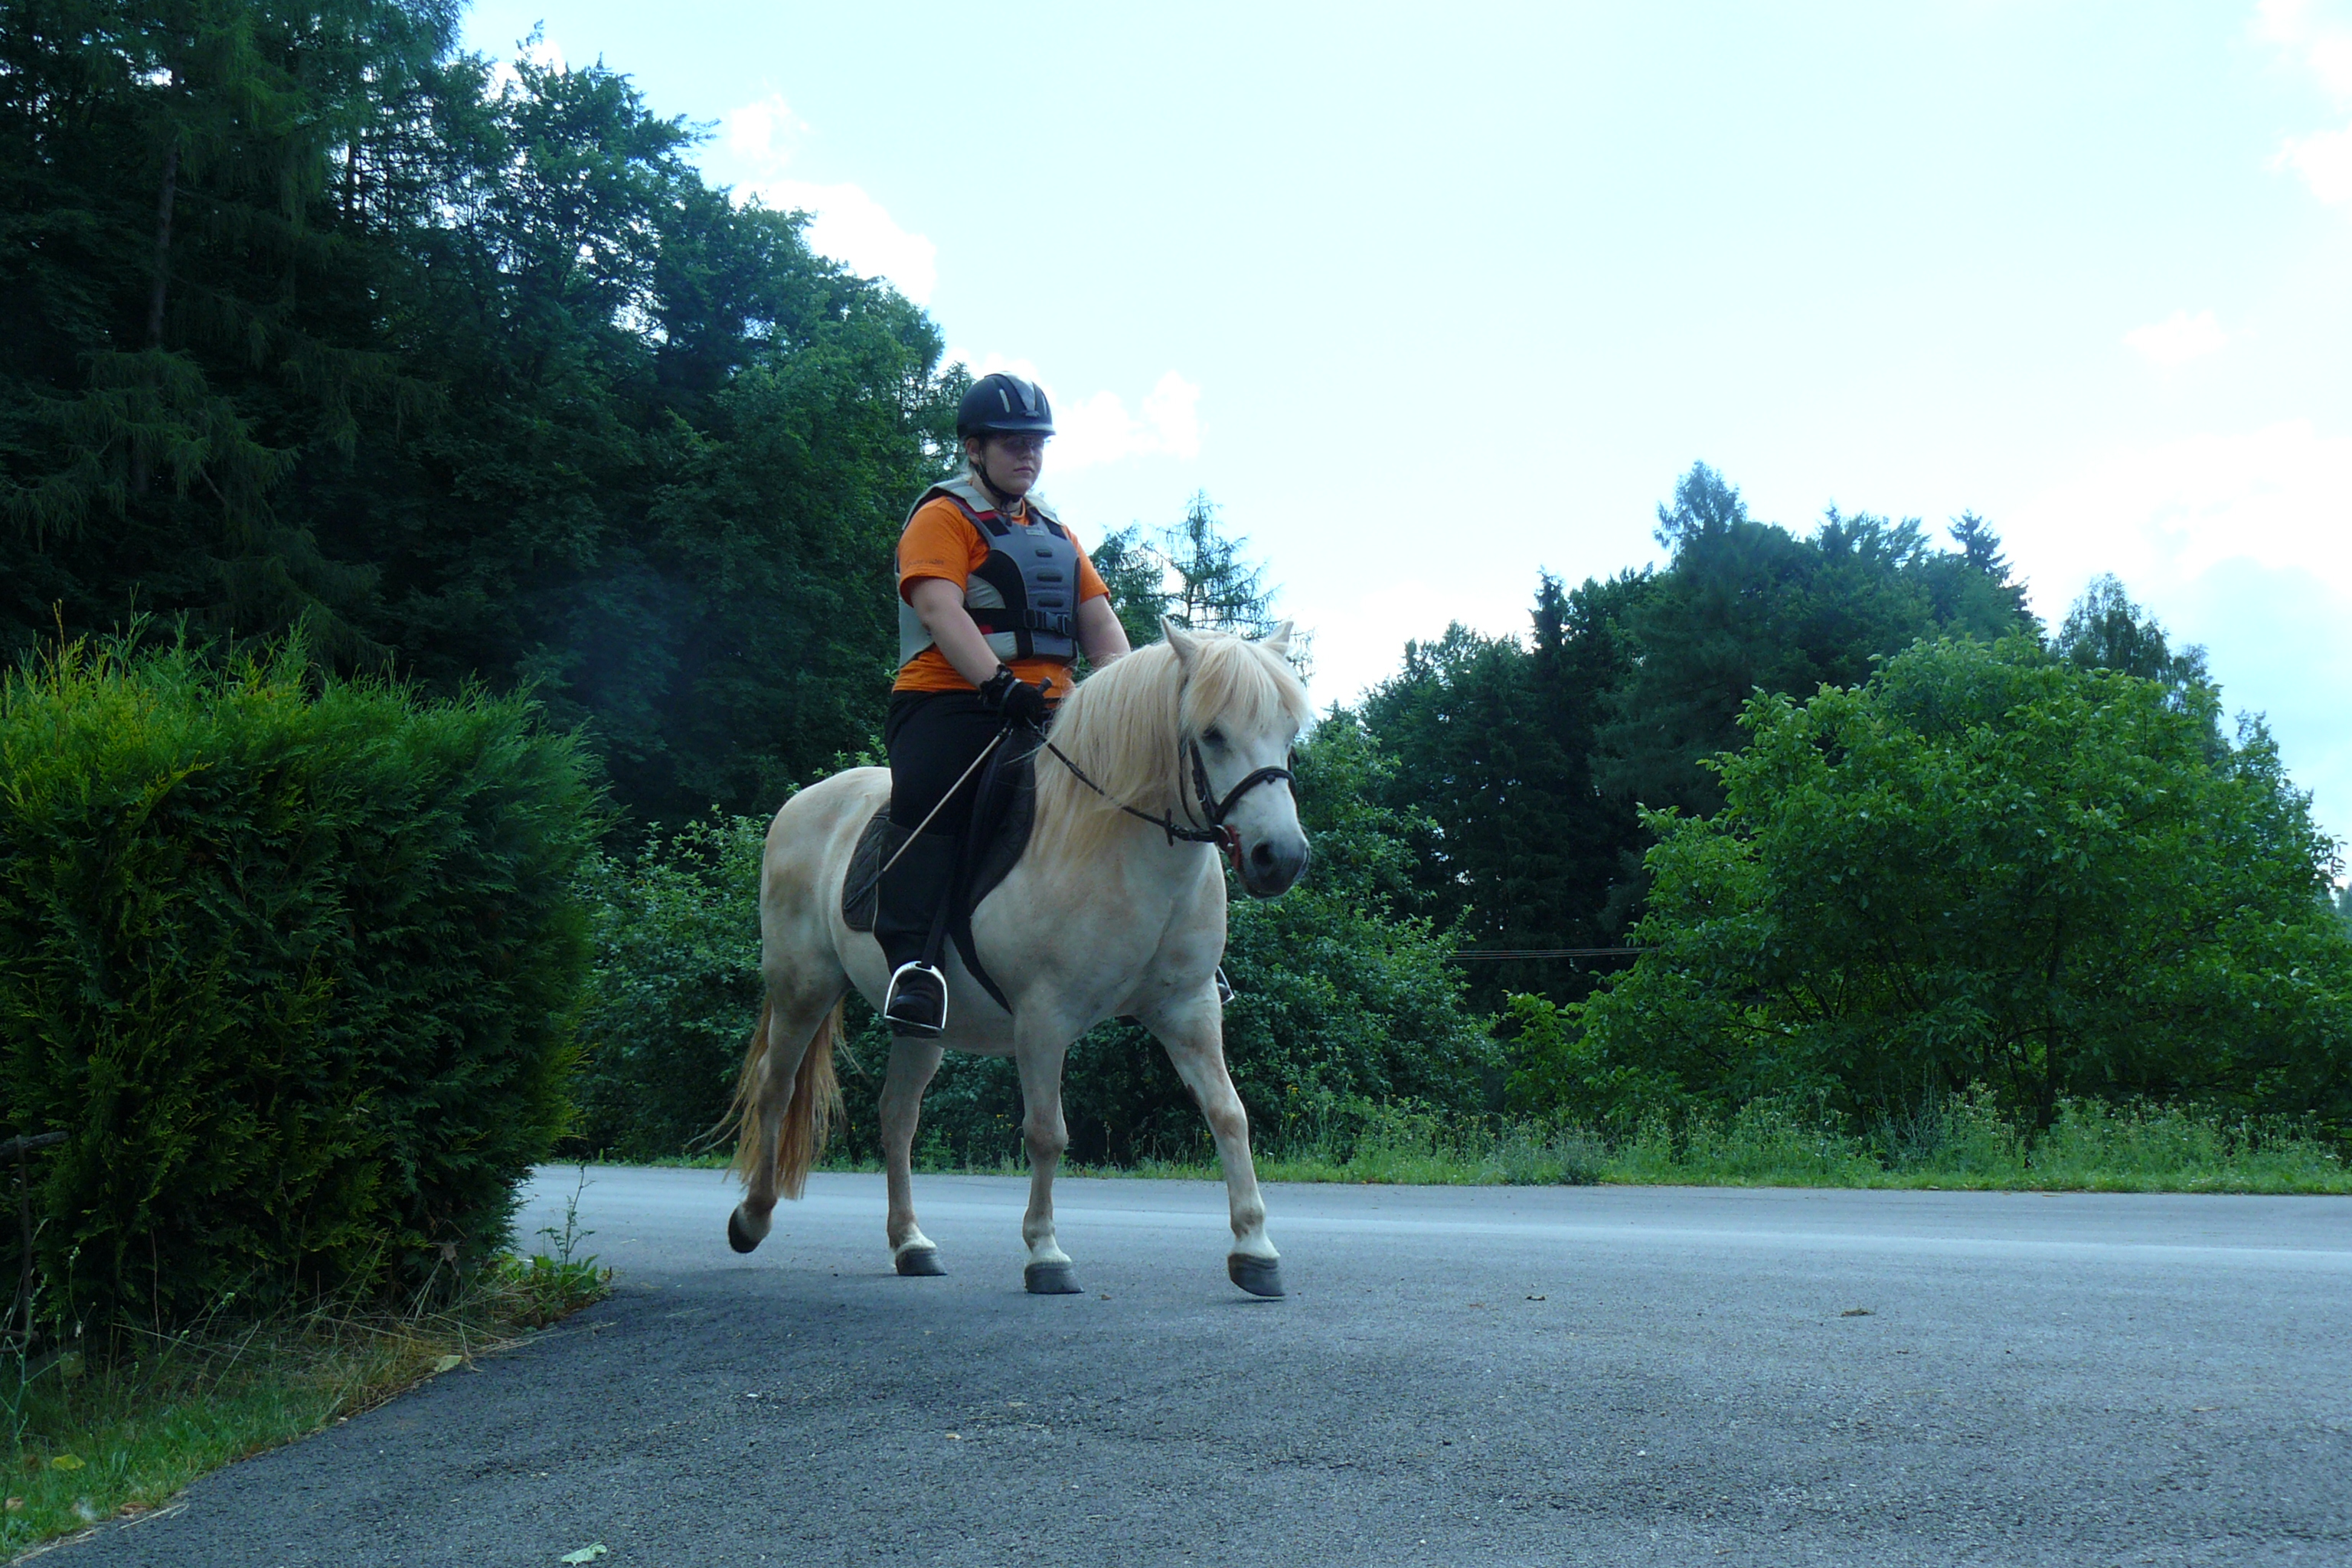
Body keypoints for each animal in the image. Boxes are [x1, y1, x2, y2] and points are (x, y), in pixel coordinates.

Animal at [714, 620, 1317, 1297]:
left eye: (1289, 734)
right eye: (1211, 733)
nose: (1280, 857)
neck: (1121, 849)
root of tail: (802, 803)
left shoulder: (1188, 1010)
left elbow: (1228, 1114)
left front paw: (1255, 1249)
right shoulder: (1044, 1018)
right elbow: (1047, 1134)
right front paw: (1045, 1253)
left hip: (922, 1024)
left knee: (897, 1116)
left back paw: (910, 1243)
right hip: (803, 989)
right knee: (776, 1089)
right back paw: (753, 1217)